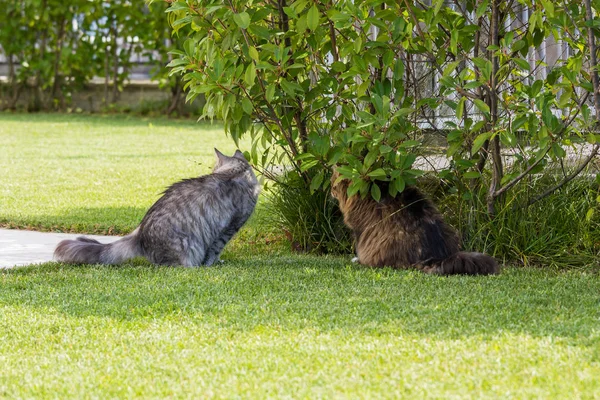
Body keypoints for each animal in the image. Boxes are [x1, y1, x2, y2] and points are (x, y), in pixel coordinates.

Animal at [55, 148, 260, 268]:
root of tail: (139, 234)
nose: (212, 171)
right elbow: (214, 251)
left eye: (214, 168)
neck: (235, 173)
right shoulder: (229, 228)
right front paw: (210, 265)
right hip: (187, 245)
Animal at [330, 169, 500, 276]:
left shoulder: (359, 228)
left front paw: (357, 259)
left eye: (334, 184)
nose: (331, 190)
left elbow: (359, 247)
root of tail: (435, 256)